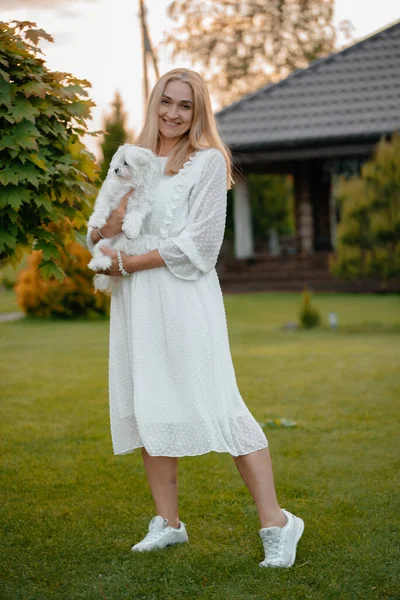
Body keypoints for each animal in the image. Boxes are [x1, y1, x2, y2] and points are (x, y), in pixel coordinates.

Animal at [88, 146, 160, 294]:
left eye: (126, 163)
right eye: (118, 162)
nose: (115, 169)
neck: (127, 184)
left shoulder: (139, 205)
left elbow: (134, 217)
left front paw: (131, 230)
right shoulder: (107, 195)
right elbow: (102, 208)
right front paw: (96, 221)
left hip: (121, 244)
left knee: (111, 254)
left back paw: (101, 263)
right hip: (104, 241)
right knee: (99, 251)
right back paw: (96, 263)